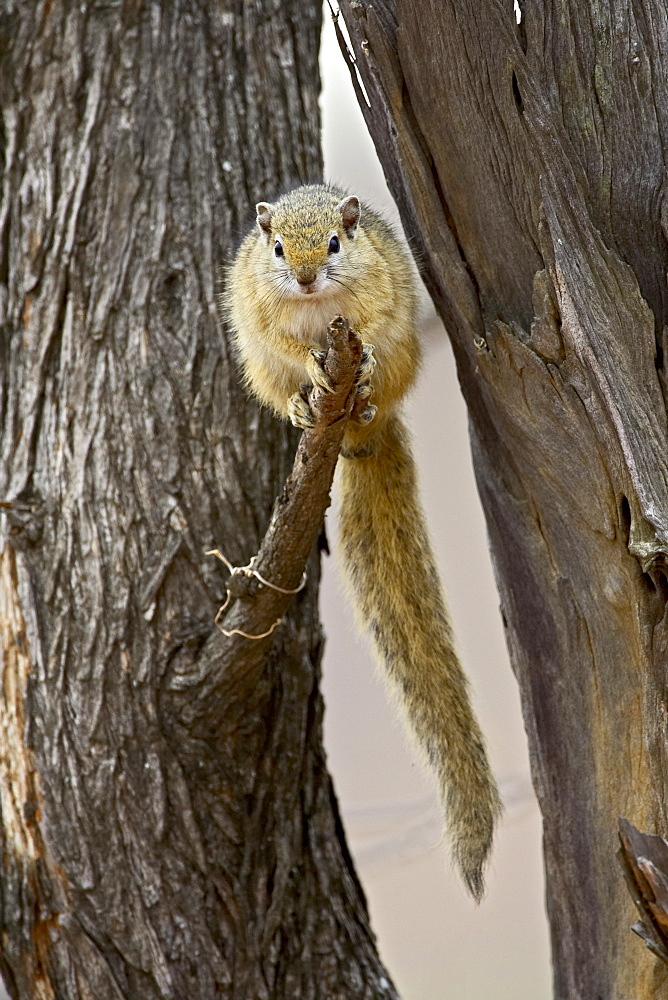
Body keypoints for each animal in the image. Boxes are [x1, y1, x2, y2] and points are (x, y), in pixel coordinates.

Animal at [223, 182, 500, 900]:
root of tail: (358, 442)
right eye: (277, 248)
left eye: (336, 242)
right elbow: (289, 346)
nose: (304, 277)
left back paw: (368, 395)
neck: (319, 312)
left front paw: (360, 360)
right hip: (261, 372)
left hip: (403, 363)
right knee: (288, 386)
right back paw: (306, 405)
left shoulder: (378, 298)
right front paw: (311, 376)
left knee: (380, 386)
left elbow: (368, 330)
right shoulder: (264, 316)